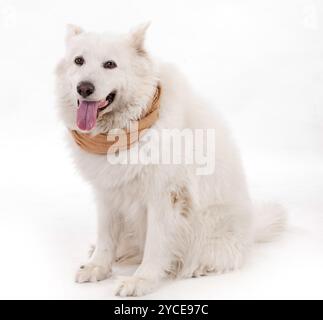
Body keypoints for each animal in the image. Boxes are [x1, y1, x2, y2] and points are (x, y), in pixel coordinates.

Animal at [55, 23, 286, 296]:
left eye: (110, 64)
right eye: (79, 61)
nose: (84, 88)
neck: (123, 130)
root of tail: (251, 231)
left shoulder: (165, 198)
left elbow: (155, 247)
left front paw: (141, 280)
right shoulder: (107, 193)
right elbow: (106, 237)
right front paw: (98, 266)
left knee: (220, 256)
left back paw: (196, 266)